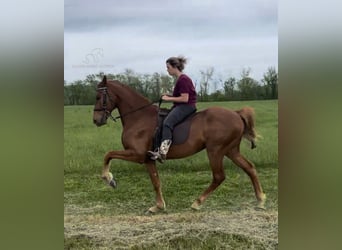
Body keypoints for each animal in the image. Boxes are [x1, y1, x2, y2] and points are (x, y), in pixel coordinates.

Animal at [92, 74, 266, 213]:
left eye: (99, 97)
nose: (96, 120)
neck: (139, 117)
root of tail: (236, 114)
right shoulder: (148, 159)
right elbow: (156, 182)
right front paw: (158, 206)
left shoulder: (137, 154)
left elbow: (108, 154)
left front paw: (109, 179)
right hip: (231, 150)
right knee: (249, 168)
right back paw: (260, 200)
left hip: (215, 151)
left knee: (219, 176)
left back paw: (197, 203)